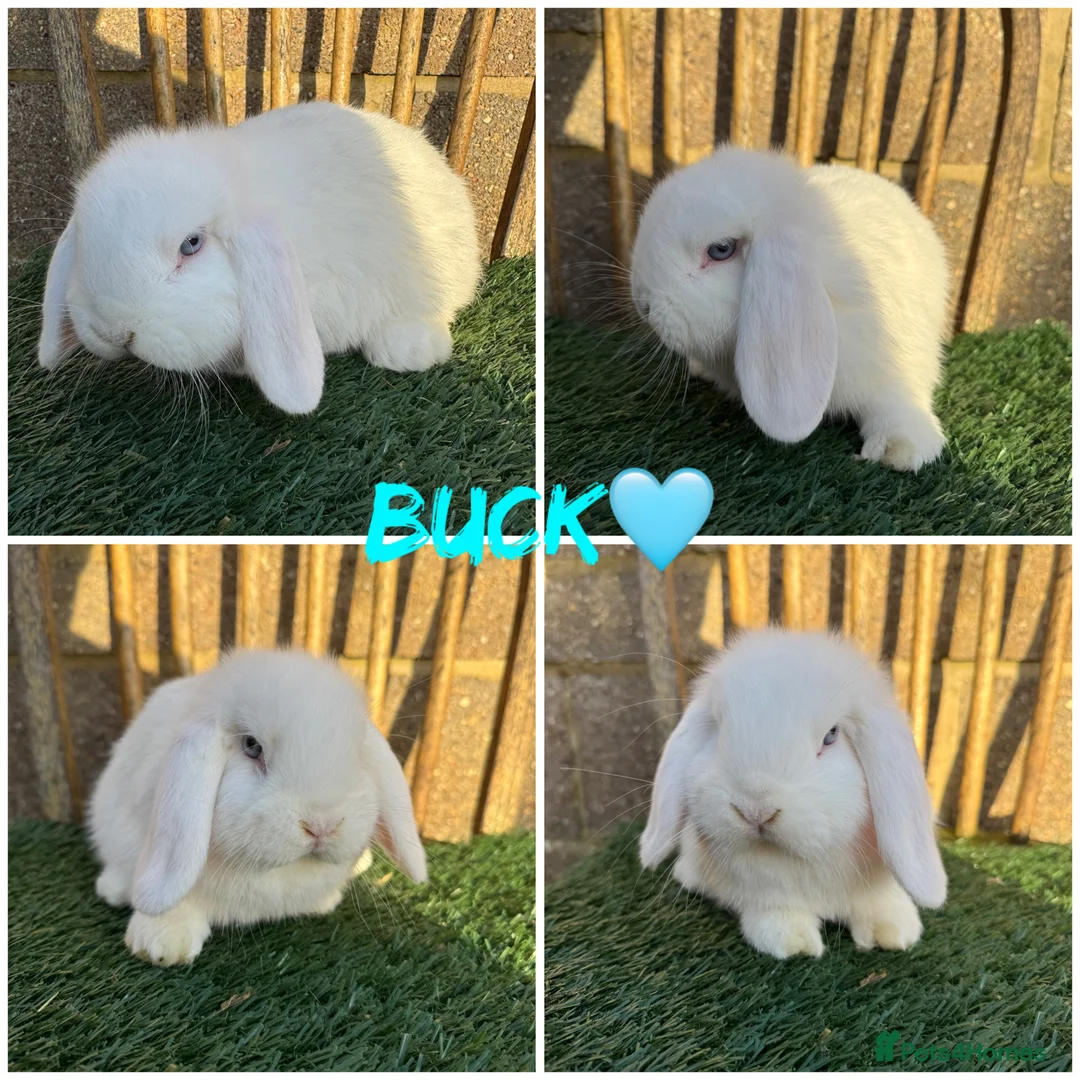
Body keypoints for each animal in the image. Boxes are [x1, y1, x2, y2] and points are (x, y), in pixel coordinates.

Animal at [639, 628, 947, 960]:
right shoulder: (766, 895)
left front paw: (893, 932)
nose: (755, 810)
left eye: (831, 735)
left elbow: (879, 903)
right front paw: (794, 944)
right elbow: (775, 911)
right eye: (718, 730)